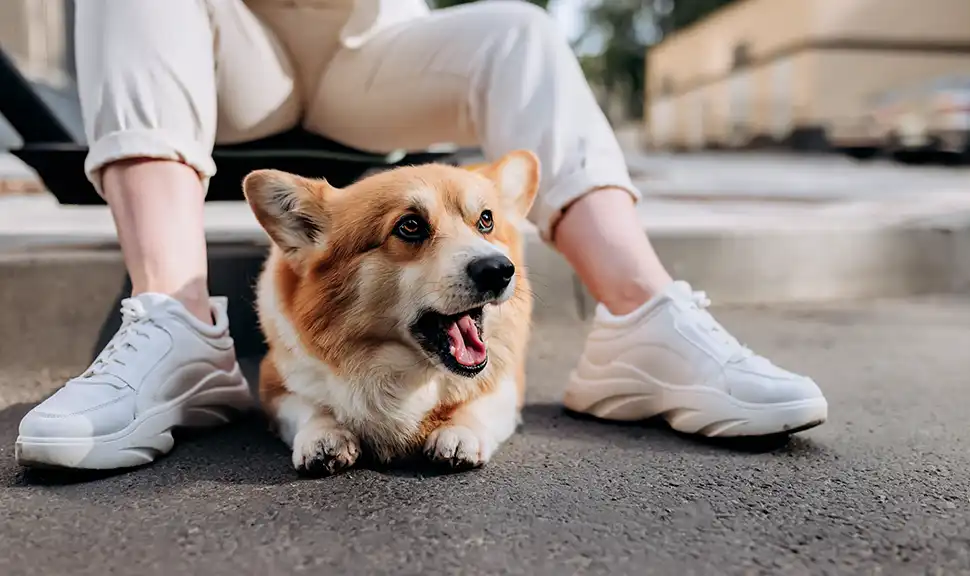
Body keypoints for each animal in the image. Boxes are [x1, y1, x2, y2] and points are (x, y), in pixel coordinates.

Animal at [242, 151, 540, 474]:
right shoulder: (276, 381)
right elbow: (308, 406)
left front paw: (461, 431)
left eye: (486, 220)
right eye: (410, 226)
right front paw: (322, 436)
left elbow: (480, 402)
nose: (498, 270)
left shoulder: (507, 383)